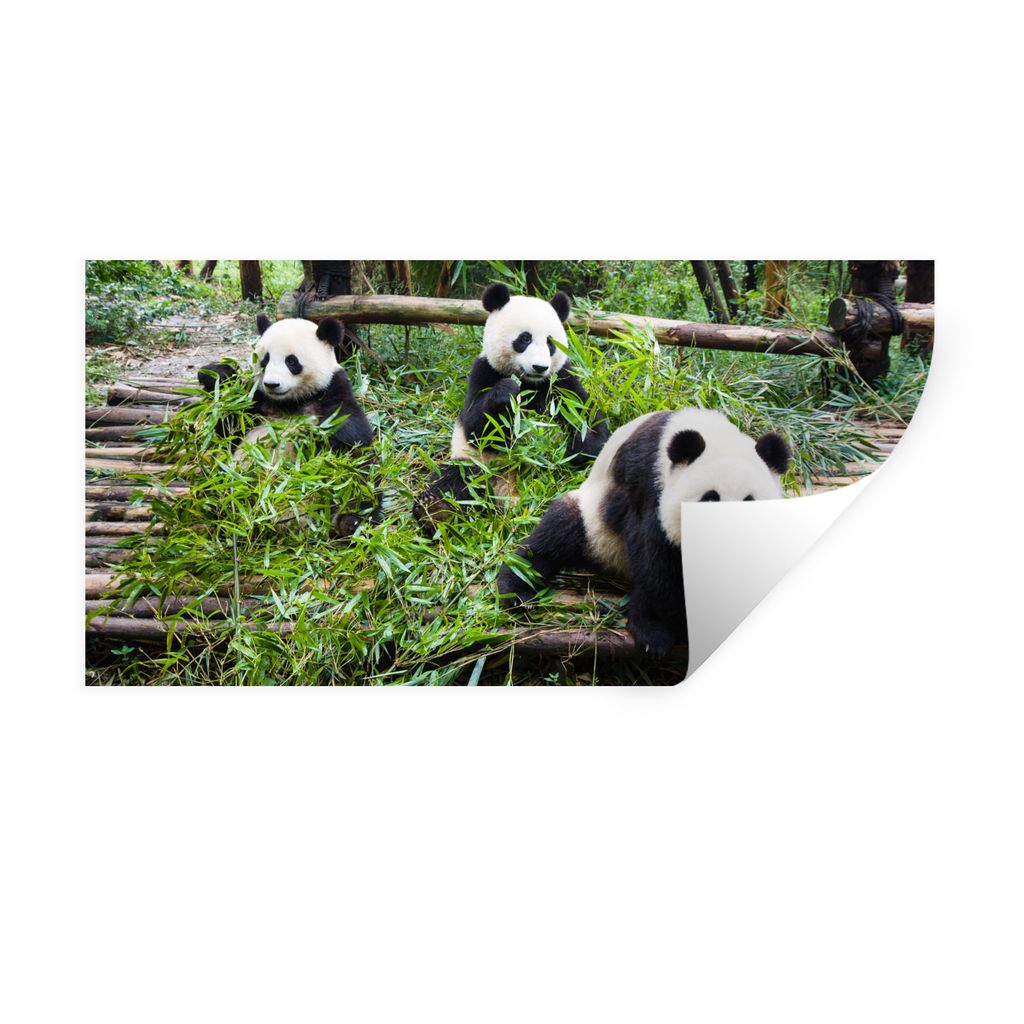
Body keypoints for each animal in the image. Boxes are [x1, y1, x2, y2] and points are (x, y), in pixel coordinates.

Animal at [198, 314, 377, 535]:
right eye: (265, 360)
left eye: (291, 361)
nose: (272, 384)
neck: (290, 402)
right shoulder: (257, 403)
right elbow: (229, 426)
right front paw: (215, 374)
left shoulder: (333, 395)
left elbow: (352, 443)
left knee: (360, 495)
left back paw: (349, 523)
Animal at [413, 283, 610, 529]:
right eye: (524, 339)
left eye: (550, 343)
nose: (540, 367)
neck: (530, 382)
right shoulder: (484, 371)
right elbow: (475, 427)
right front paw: (507, 392)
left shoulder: (561, 380)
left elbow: (588, 421)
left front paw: (574, 447)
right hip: (478, 467)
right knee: (454, 481)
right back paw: (436, 512)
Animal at [496, 408, 790, 658]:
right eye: (710, 499)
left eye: (750, 502)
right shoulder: (647, 484)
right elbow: (656, 562)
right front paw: (662, 630)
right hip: (593, 522)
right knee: (554, 536)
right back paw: (517, 592)